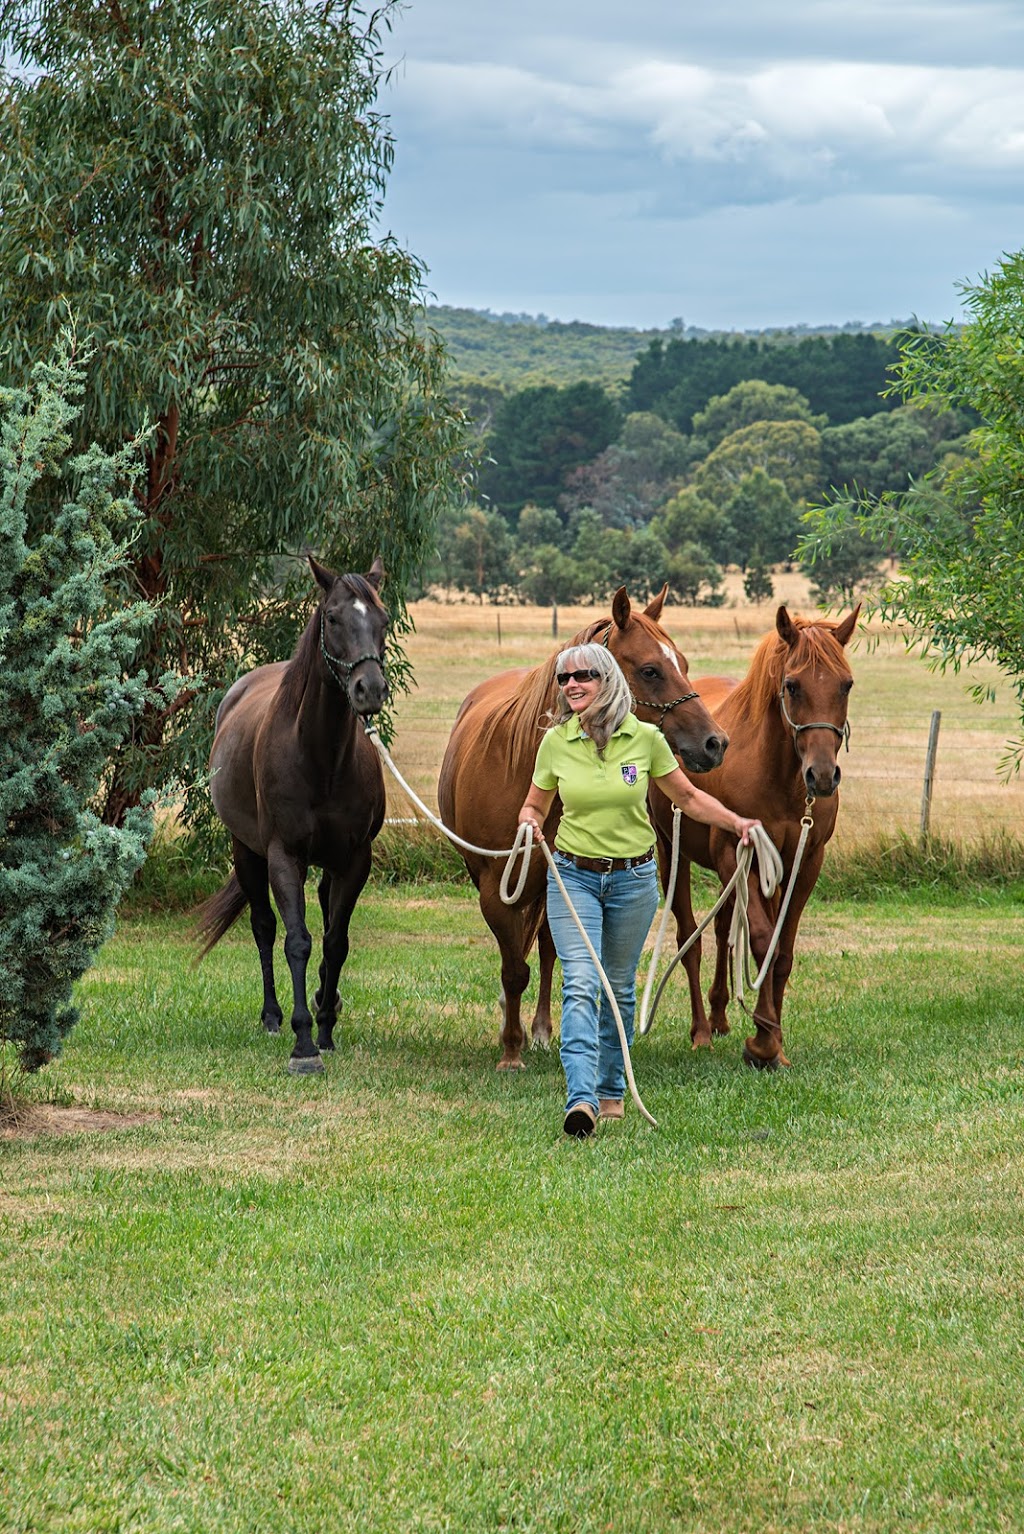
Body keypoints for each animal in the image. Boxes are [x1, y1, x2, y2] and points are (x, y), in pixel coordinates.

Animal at [194, 558, 387, 1073]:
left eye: (383, 620)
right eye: (334, 618)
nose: (369, 689)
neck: (320, 758)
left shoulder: (354, 861)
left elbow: (336, 943)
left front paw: (326, 1029)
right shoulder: (284, 857)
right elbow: (296, 940)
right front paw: (303, 1043)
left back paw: (325, 1001)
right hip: (246, 851)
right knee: (263, 928)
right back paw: (273, 1016)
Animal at [646, 598, 858, 1067]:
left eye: (847, 685)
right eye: (792, 686)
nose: (821, 776)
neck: (780, 778)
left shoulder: (803, 862)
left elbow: (782, 952)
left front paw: (776, 1041)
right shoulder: (733, 853)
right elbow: (762, 941)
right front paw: (762, 1043)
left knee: (724, 929)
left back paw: (721, 1016)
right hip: (673, 854)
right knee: (691, 938)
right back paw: (701, 1031)